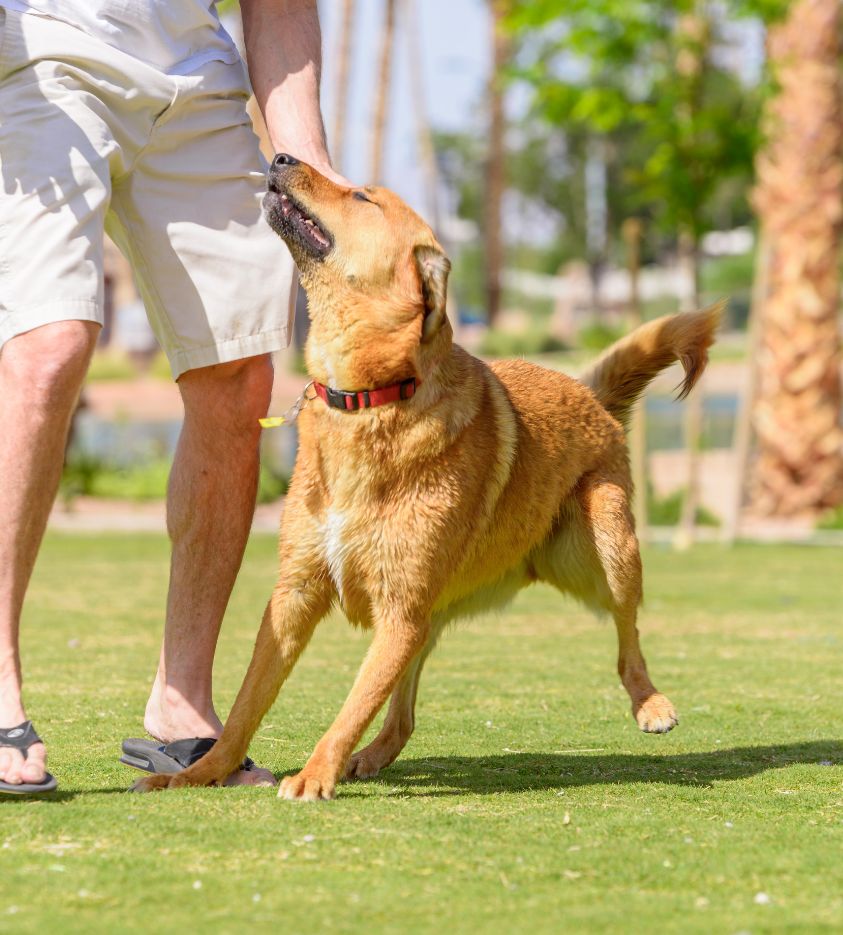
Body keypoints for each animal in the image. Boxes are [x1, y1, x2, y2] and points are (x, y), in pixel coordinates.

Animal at [135, 157, 724, 800]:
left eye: (362, 197)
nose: (283, 158)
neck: (368, 398)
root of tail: (590, 395)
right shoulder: (297, 596)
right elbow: (248, 702)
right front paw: (202, 772)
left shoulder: (399, 611)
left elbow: (351, 706)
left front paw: (314, 775)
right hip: (432, 611)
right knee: (404, 715)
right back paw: (372, 756)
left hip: (607, 552)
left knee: (627, 639)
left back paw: (651, 704)